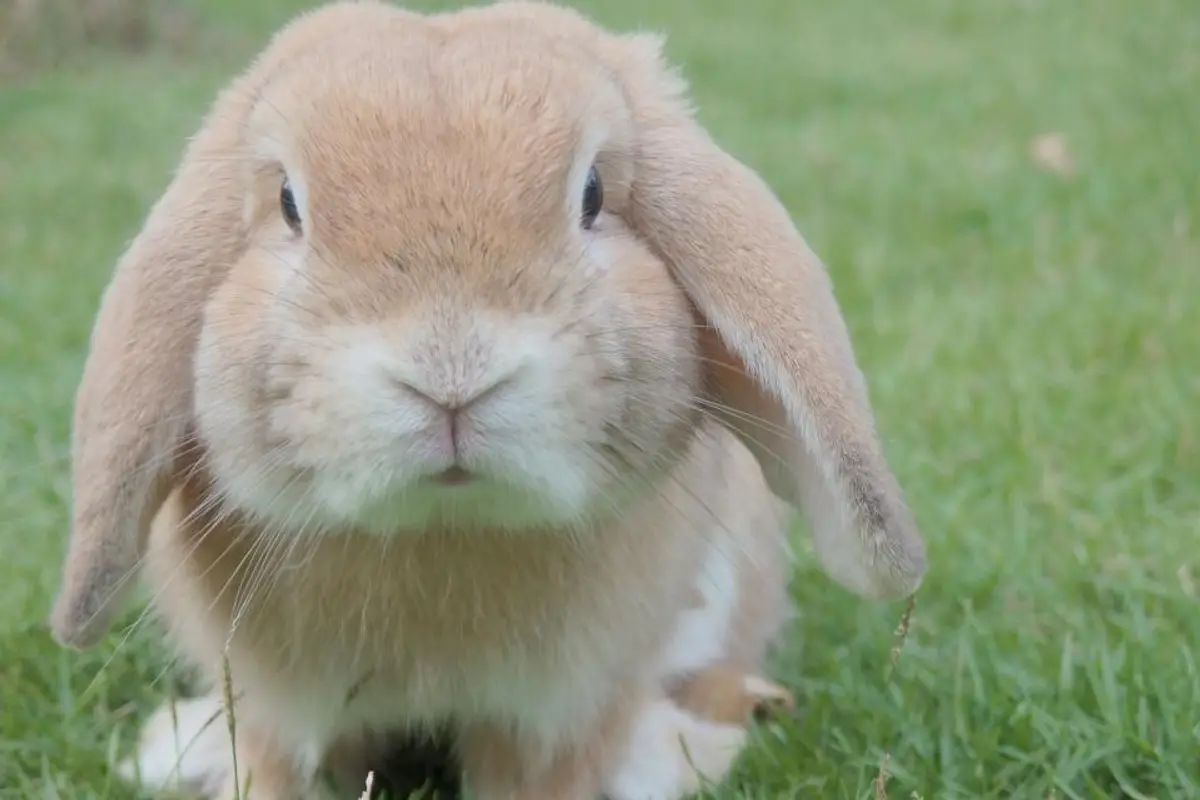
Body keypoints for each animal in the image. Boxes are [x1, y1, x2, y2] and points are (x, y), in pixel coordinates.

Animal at [49, 1, 927, 797]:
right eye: (291, 205)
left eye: (593, 193)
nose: (451, 371)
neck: (444, 529)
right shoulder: (273, 707)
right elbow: (272, 771)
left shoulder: (565, 710)